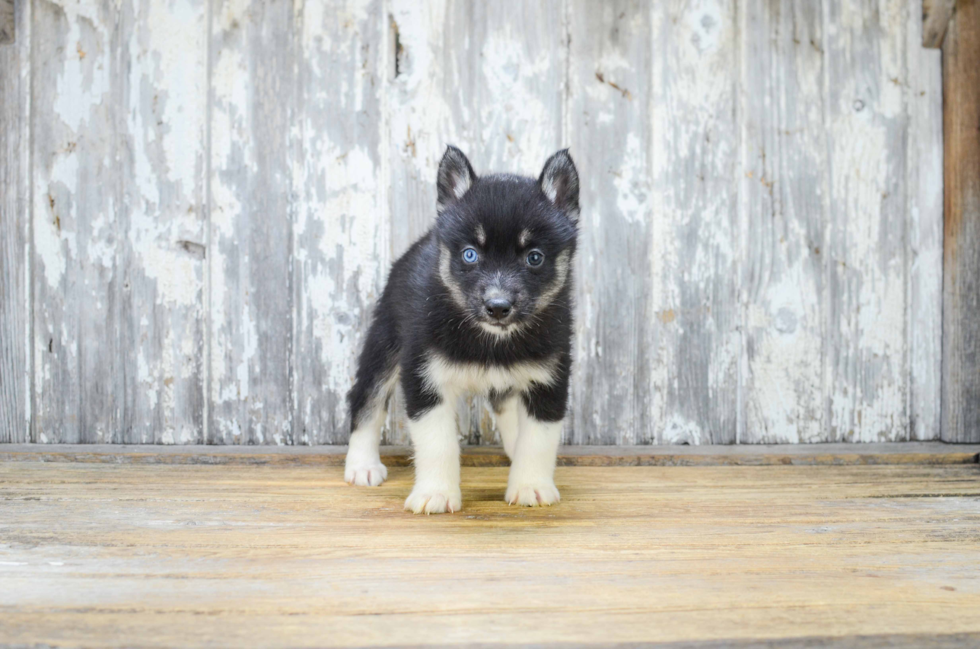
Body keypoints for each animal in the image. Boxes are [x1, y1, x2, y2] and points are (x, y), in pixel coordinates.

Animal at [344, 144, 580, 512]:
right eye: (470, 255)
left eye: (535, 257)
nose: (498, 307)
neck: (489, 339)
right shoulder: (424, 378)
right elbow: (437, 443)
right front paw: (436, 493)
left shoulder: (548, 380)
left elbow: (538, 440)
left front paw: (531, 485)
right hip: (384, 343)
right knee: (366, 398)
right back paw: (362, 465)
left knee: (505, 405)